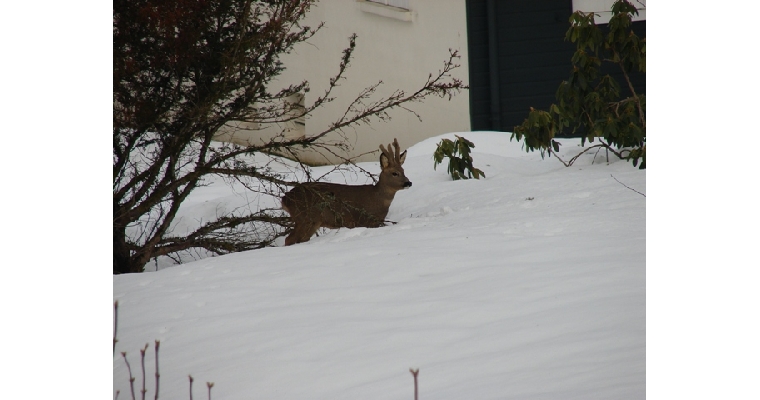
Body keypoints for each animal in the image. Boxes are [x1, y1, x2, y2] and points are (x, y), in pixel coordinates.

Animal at [281, 138, 412, 246]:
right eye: (394, 173)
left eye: (403, 171)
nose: (408, 183)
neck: (377, 199)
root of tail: (285, 198)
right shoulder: (365, 221)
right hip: (306, 218)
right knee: (289, 239)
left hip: (309, 221)